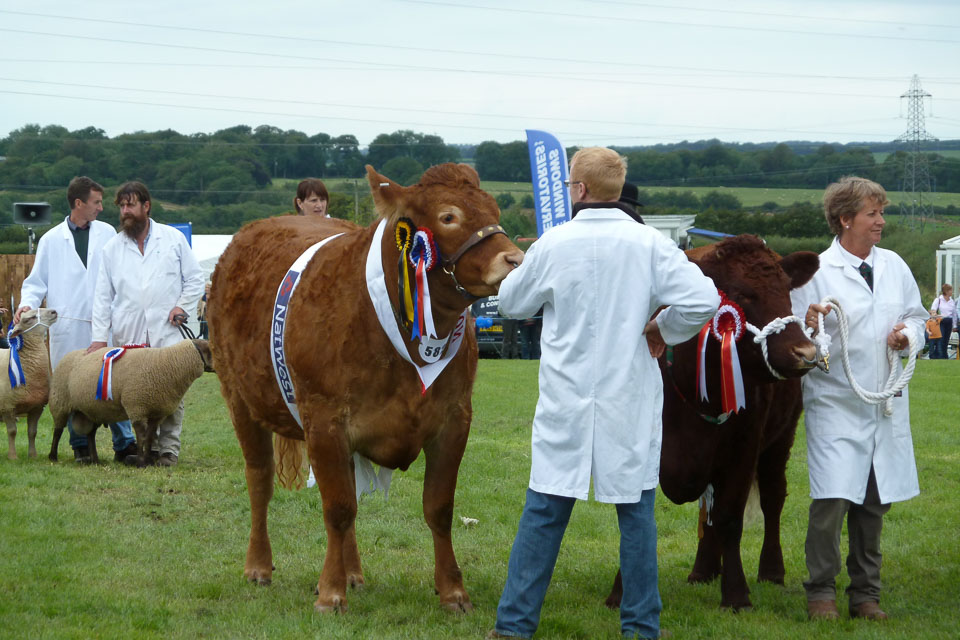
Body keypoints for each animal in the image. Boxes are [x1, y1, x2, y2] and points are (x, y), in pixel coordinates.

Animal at [1, 306, 58, 460]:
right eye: (29, 319)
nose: (54, 312)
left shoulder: (37, 407)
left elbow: (32, 432)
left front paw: (33, 455)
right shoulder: (8, 407)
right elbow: (12, 432)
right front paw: (12, 456)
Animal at [48, 340, 214, 464]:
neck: (168, 363)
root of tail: (68, 354)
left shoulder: (157, 413)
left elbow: (150, 437)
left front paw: (148, 460)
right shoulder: (137, 407)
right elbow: (141, 436)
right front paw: (141, 462)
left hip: (93, 409)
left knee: (90, 435)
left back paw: (95, 459)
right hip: (60, 401)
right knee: (58, 431)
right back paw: (53, 456)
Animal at [209, 162, 520, 612]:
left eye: (494, 209)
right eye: (448, 216)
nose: (515, 259)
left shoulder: (455, 418)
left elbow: (438, 509)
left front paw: (452, 591)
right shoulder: (324, 421)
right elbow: (338, 508)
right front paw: (330, 592)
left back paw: (354, 571)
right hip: (239, 400)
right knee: (260, 480)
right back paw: (259, 566)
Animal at [608, 234, 816, 608]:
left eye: (786, 289)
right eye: (743, 293)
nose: (804, 353)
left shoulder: (743, 449)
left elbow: (730, 518)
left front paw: (736, 595)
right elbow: (636, 518)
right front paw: (621, 591)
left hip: (782, 438)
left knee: (772, 498)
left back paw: (771, 570)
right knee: (708, 510)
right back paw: (703, 570)